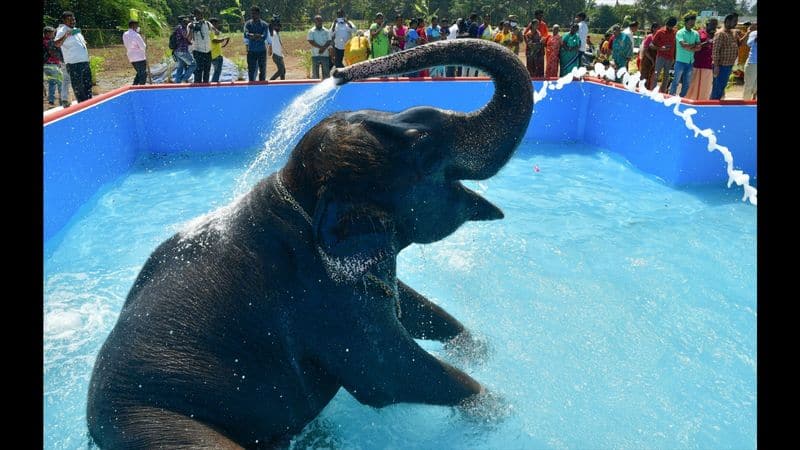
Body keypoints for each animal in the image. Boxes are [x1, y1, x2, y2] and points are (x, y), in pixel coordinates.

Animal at [86, 39, 532, 450]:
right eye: (422, 144)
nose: (339, 73)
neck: (294, 193)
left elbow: (408, 303)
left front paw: (477, 349)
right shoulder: (319, 298)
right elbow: (388, 373)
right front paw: (498, 410)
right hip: (153, 422)